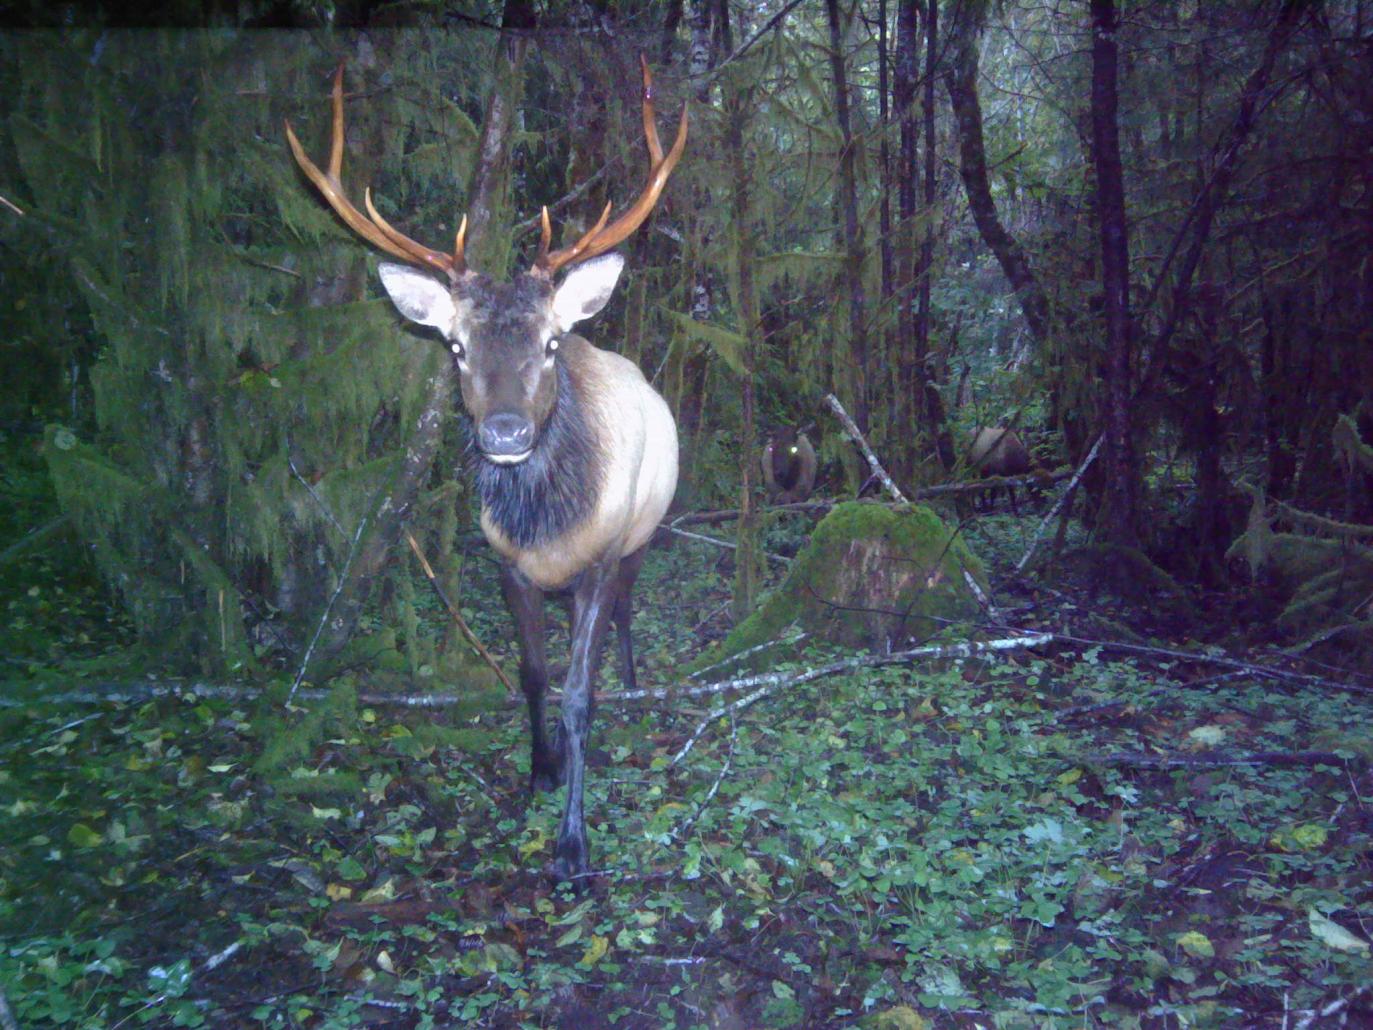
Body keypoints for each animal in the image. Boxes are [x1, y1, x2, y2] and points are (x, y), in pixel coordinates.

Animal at [286, 60, 686, 882]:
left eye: (551, 343)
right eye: (457, 347)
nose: (505, 430)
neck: (551, 526)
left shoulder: (601, 557)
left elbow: (578, 693)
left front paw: (572, 844)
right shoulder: (506, 563)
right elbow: (533, 676)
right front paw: (540, 771)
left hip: (643, 535)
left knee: (627, 612)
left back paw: (633, 684)